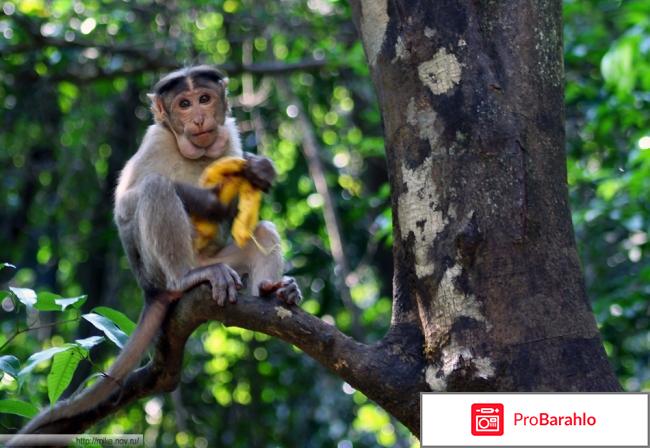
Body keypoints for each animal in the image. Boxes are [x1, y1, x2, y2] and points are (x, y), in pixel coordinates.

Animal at [13, 65, 298, 438]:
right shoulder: (155, 139)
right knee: (155, 188)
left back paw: (270, 289)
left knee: (262, 231)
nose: (200, 118)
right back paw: (187, 278)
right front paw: (212, 201)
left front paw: (257, 174)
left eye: (204, 98)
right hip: (155, 269)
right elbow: (125, 204)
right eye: (184, 104)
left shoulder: (230, 135)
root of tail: (149, 289)